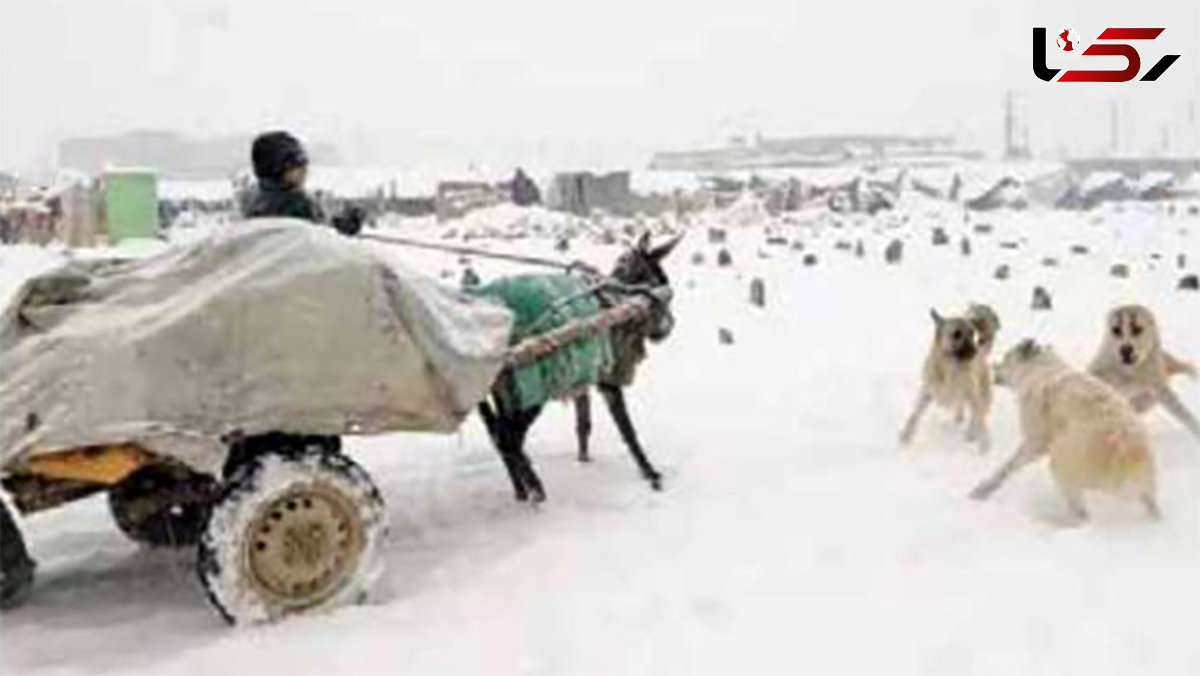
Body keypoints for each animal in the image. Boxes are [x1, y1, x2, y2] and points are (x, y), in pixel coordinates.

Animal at [897, 303, 998, 451]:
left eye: (972, 332)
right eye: (956, 334)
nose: (975, 351)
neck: (950, 369)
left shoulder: (973, 395)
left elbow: (980, 421)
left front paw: (984, 445)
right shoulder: (927, 392)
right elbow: (914, 415)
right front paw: (905, 435)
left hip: (983, 394)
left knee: (978, 415)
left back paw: (971, 433)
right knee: (962, 408)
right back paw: (959, 418)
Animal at [969, 338, 1156, 523]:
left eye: (1006, 357)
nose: (993, 366)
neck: (1042, 370)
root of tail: (1128, 450)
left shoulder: (1034, 442)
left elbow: (1008, 467)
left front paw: (982, 490)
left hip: (1061, 463)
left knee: (1082, 515)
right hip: (1146, 484)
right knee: (1150, 505)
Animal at [1089, 304, 1200, 441]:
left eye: (1137, 329)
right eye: (1116, 330)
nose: (1125, 349)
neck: (1130, 372)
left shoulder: (1158, 384)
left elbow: (1184, 414)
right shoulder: (1101, 373)